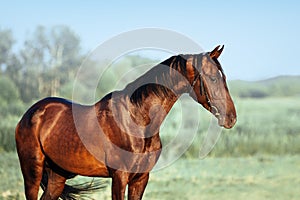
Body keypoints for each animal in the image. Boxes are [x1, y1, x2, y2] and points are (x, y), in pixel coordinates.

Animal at [15, 45, 237, 200]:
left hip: (57, 175)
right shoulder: (119, 177)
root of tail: (30, 114)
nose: (231, 118)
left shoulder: (141, 178)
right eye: (212, 78)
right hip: (32, 171)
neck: (138, 120)